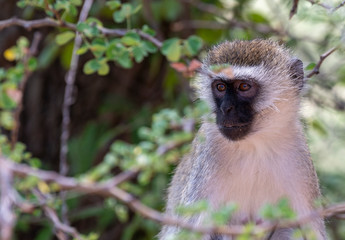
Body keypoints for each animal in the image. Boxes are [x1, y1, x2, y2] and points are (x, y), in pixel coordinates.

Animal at [159, 39, 326, 240]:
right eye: (220, 87)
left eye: (244, 87)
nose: (225, 109)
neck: (254, 145)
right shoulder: (207, 155)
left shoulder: (299, 159)